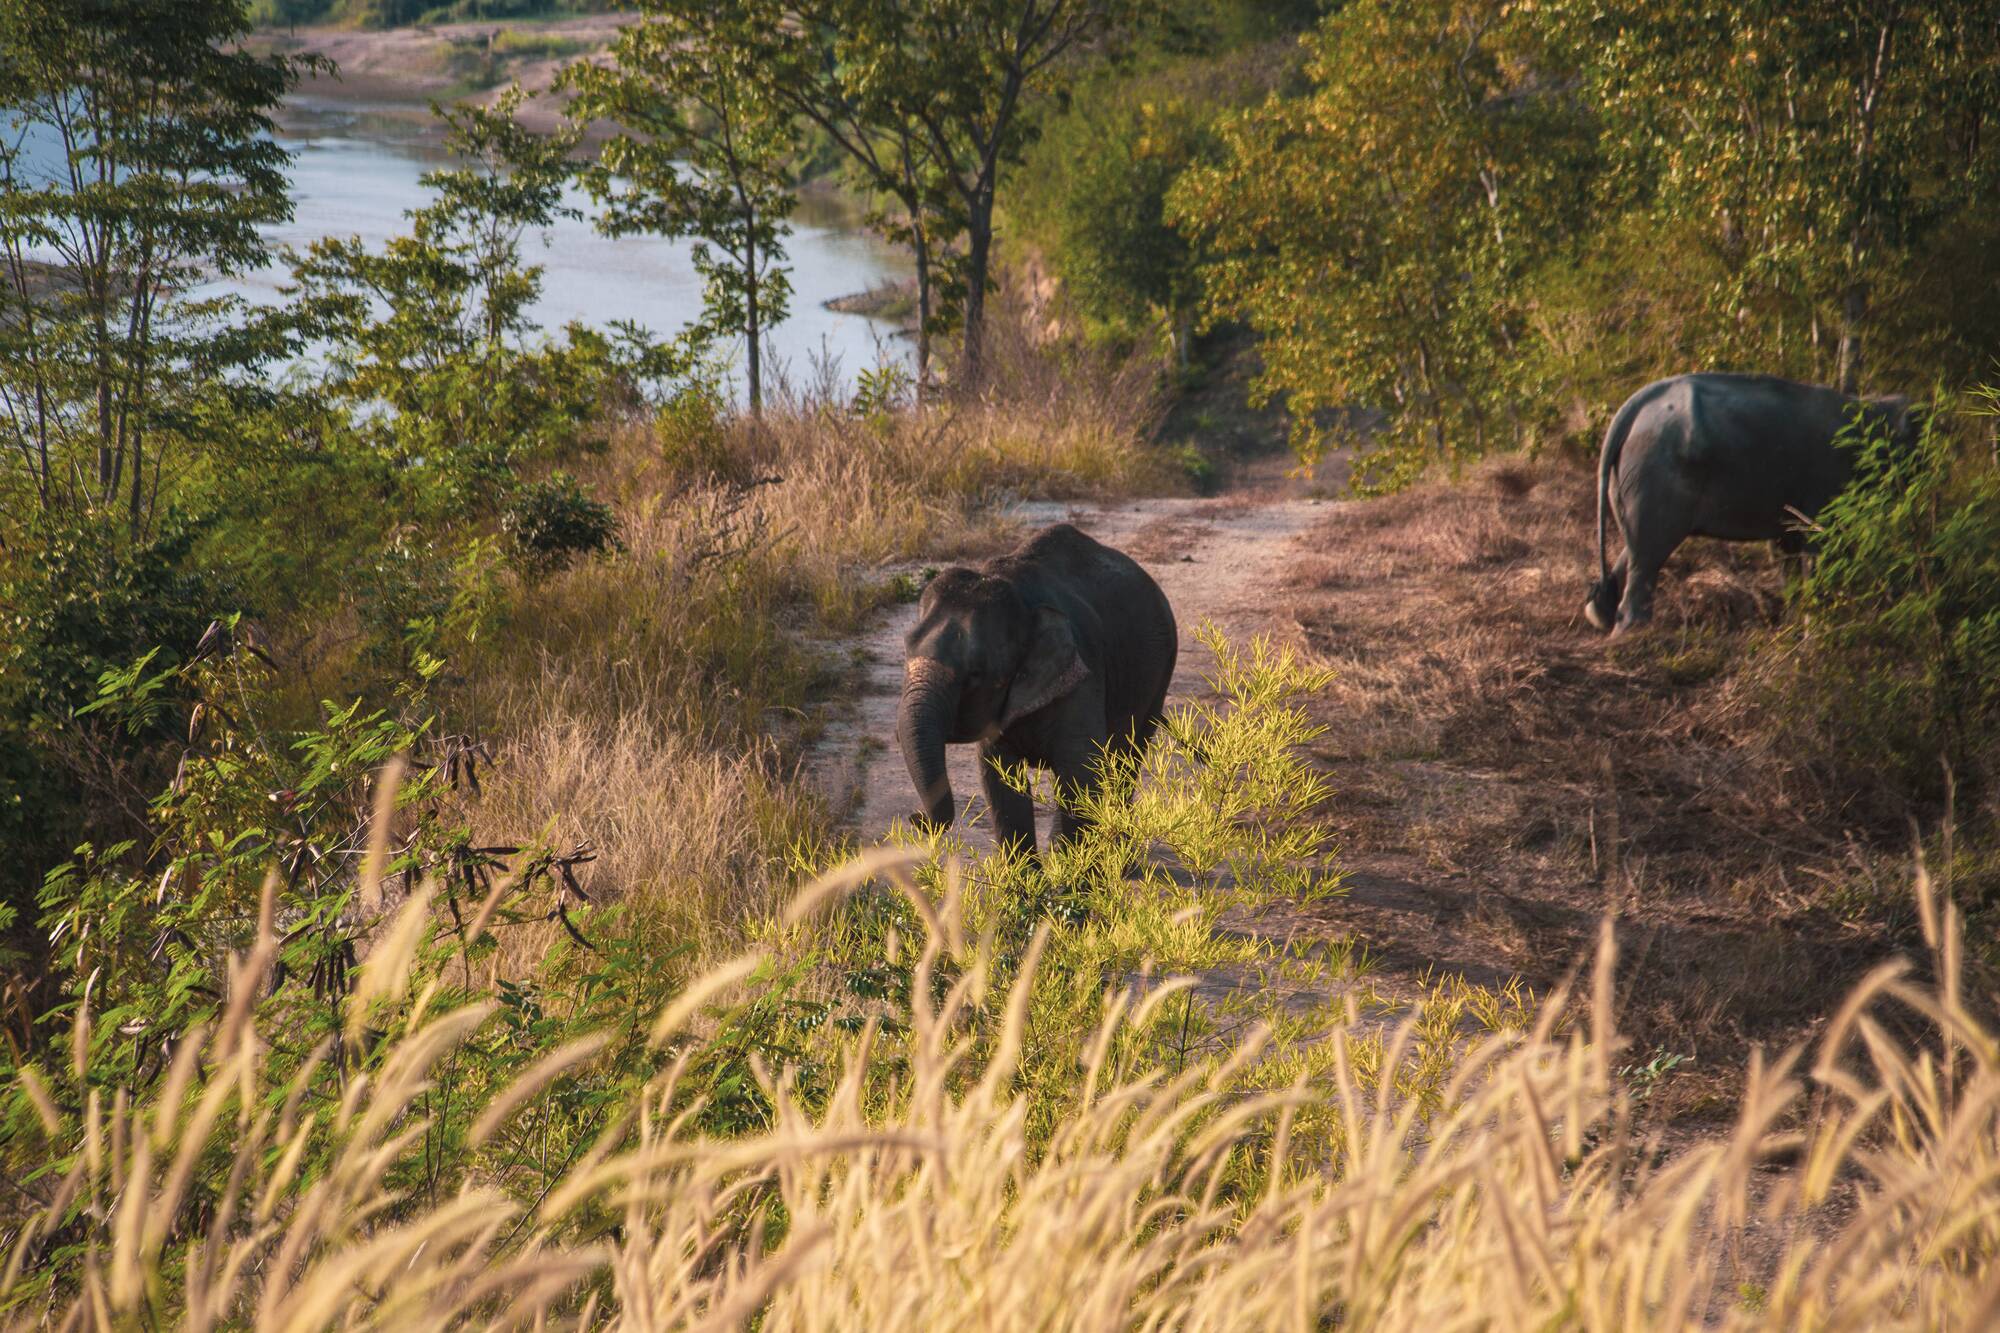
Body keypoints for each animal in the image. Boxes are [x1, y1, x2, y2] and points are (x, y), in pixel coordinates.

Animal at [897, 522, 1177, 857]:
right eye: (906, 649)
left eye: (976, 673)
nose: (915, 817)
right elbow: (1001, 780)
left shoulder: (1083, 675)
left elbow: (1079, 772)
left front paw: (1074, 871)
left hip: (1160, 672)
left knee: (1126, 760)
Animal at [1584, 372, 1912, 634]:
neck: (1872, 406)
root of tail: (1632, 407)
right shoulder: (1826, 479)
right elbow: (1817, 545)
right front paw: (1816, 627)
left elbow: (1787, 548)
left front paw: (1793, 626)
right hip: (1655, 471)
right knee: (1649, 553)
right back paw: (1634, 635)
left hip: (1634, 481)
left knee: (1639, 547)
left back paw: (1600, 614)